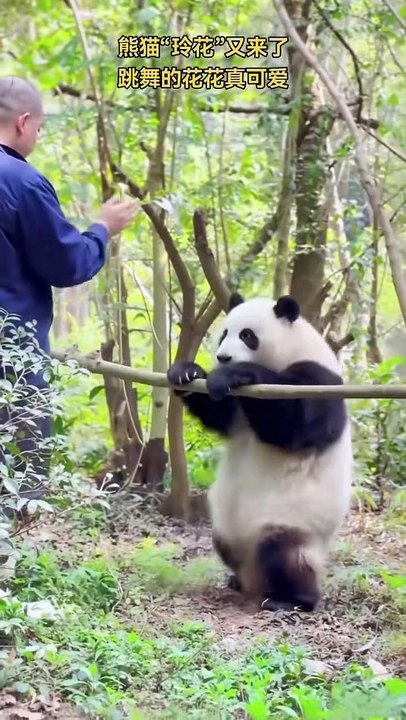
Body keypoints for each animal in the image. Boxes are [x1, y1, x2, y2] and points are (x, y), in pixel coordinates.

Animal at [167, 293, 353, 612]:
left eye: (247, 335)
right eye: (223, 334)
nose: (223, 357)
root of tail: (255, 579)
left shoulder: (320, 382)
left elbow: (294, 426)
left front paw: (234, 373)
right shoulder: (236, 409)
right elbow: (218, 412)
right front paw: (186, 372)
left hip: (290, 522)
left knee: (282, 553)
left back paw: (291, 599)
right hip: (227, 529)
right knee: (225, 542)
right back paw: (238, 581)